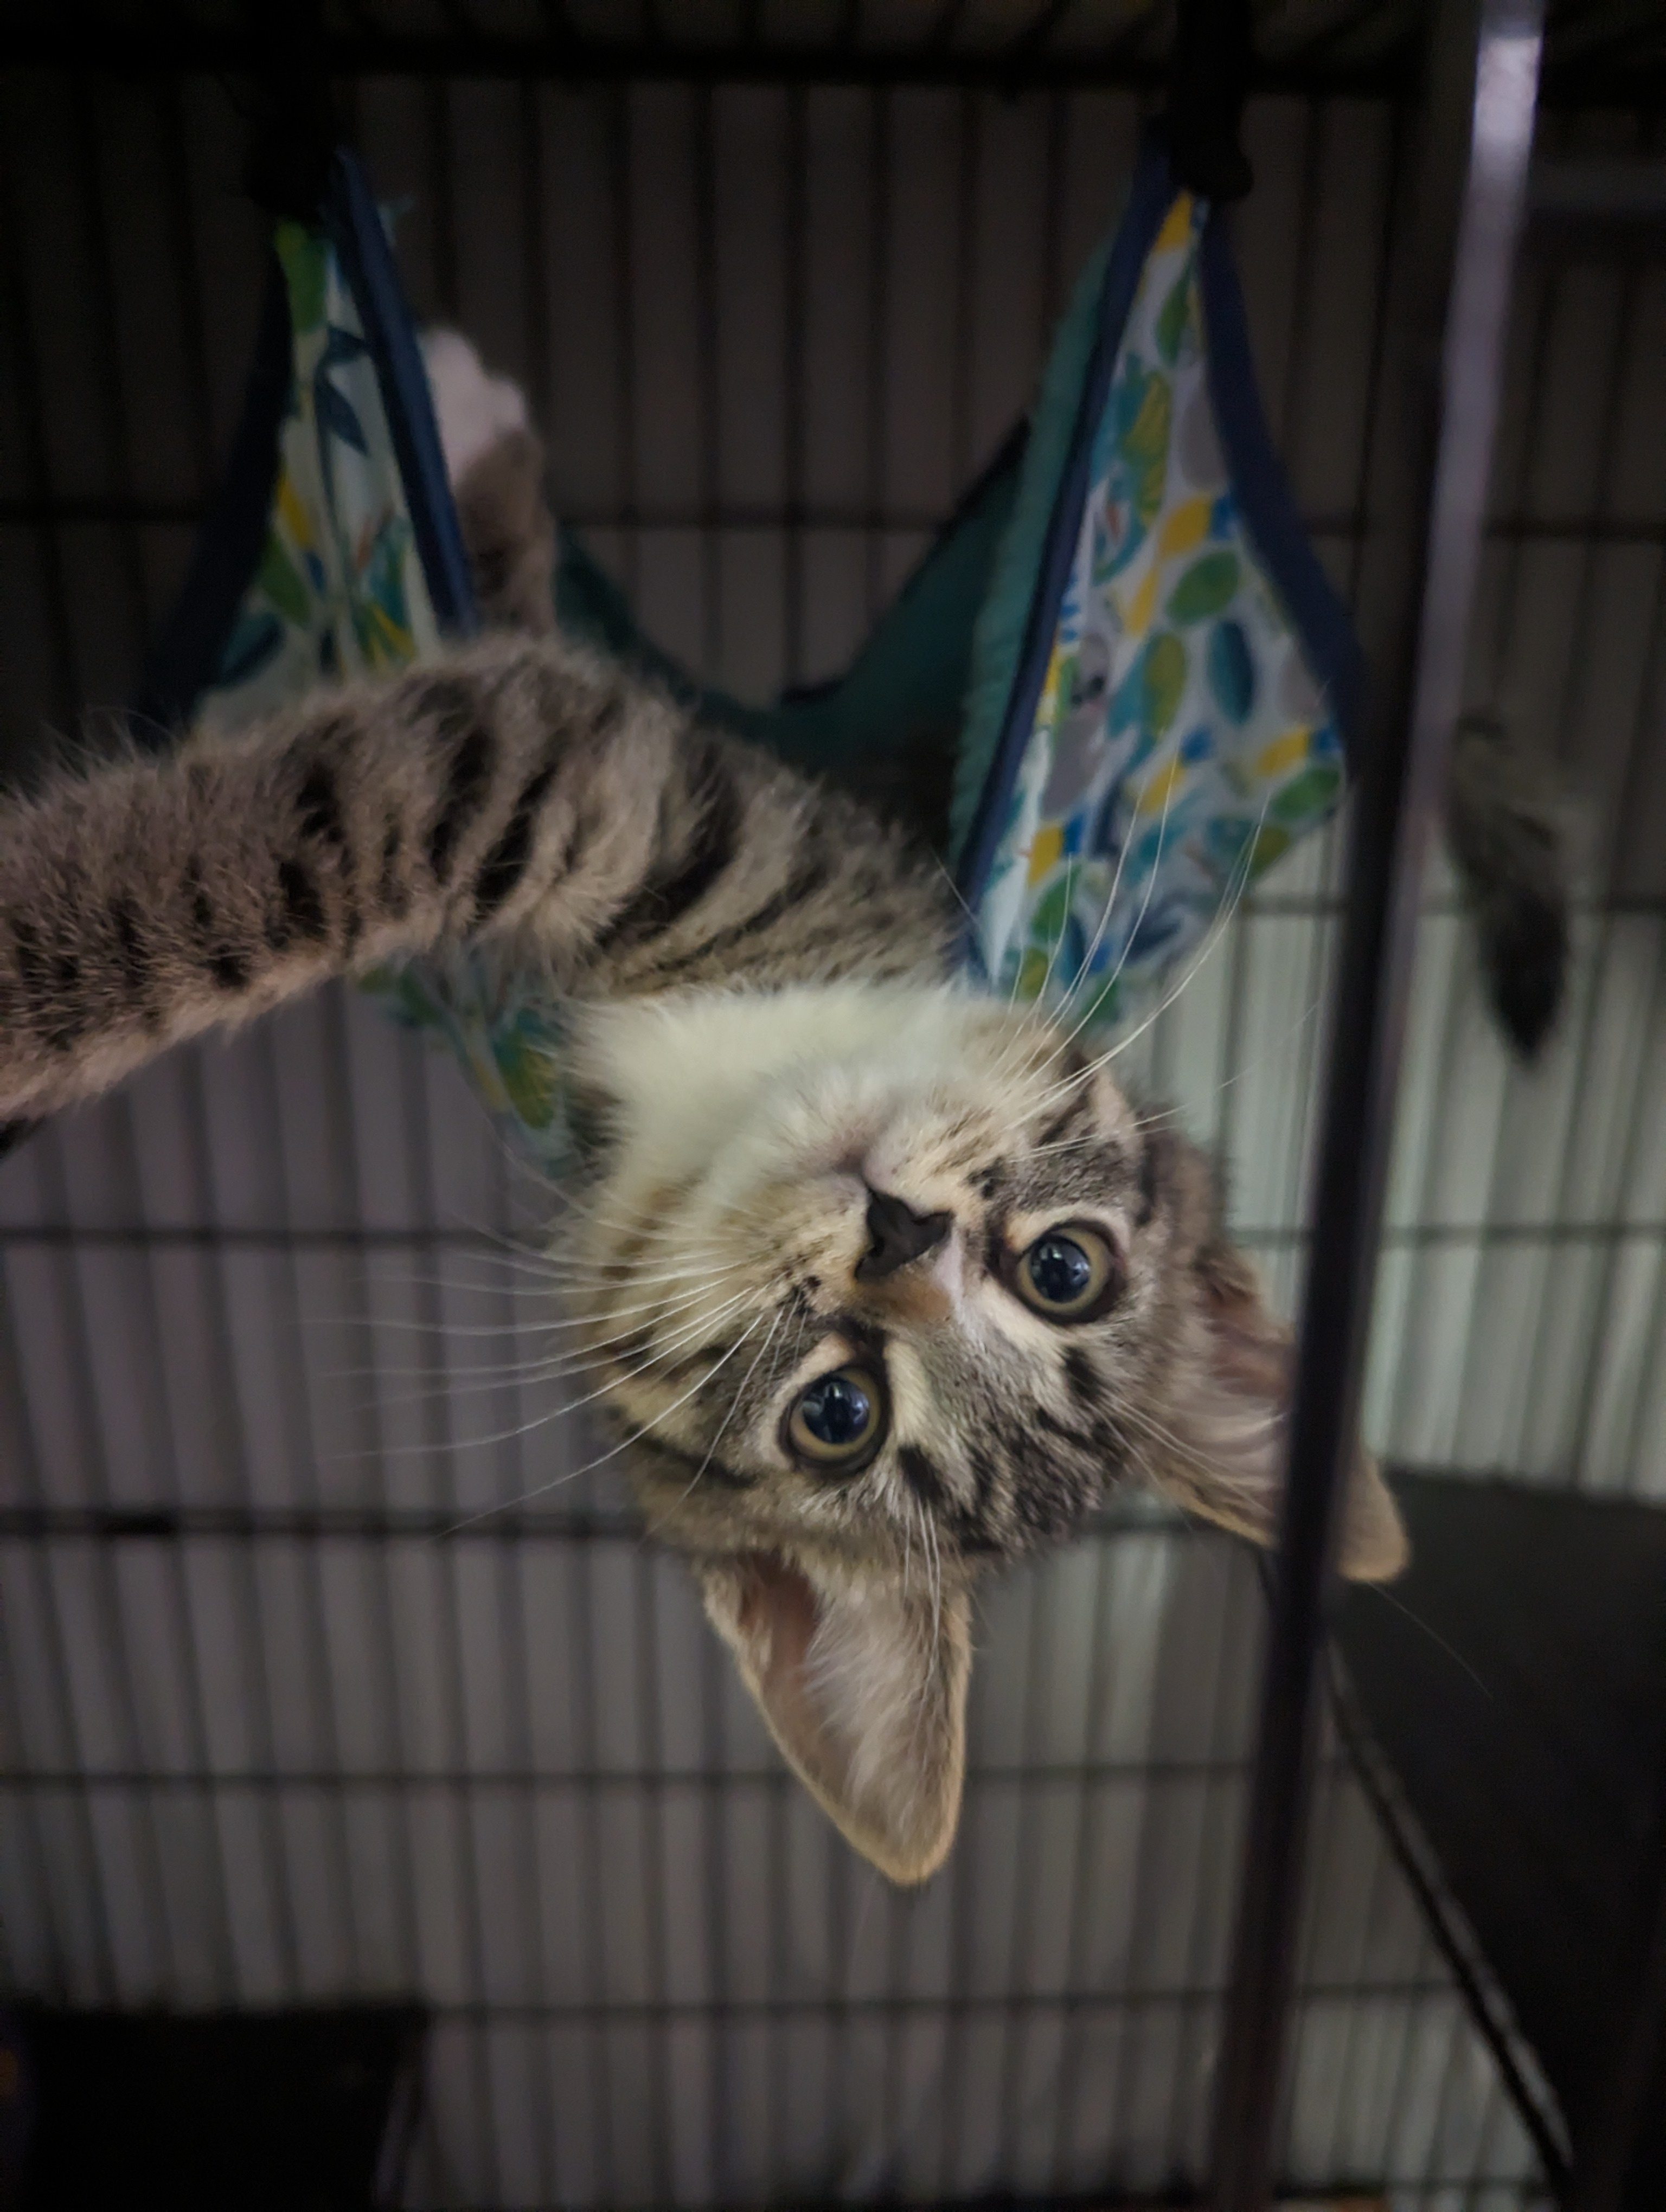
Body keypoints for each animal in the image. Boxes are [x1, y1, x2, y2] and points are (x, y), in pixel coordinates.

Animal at [0, 353, 1407, 1875]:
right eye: (1067, 1268)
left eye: (836, 1414)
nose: (900, 1234)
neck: (717, 1090)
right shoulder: (684, 795)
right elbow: (462, 705)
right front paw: (472, 450)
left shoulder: (591, 776)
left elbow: (358, 805)